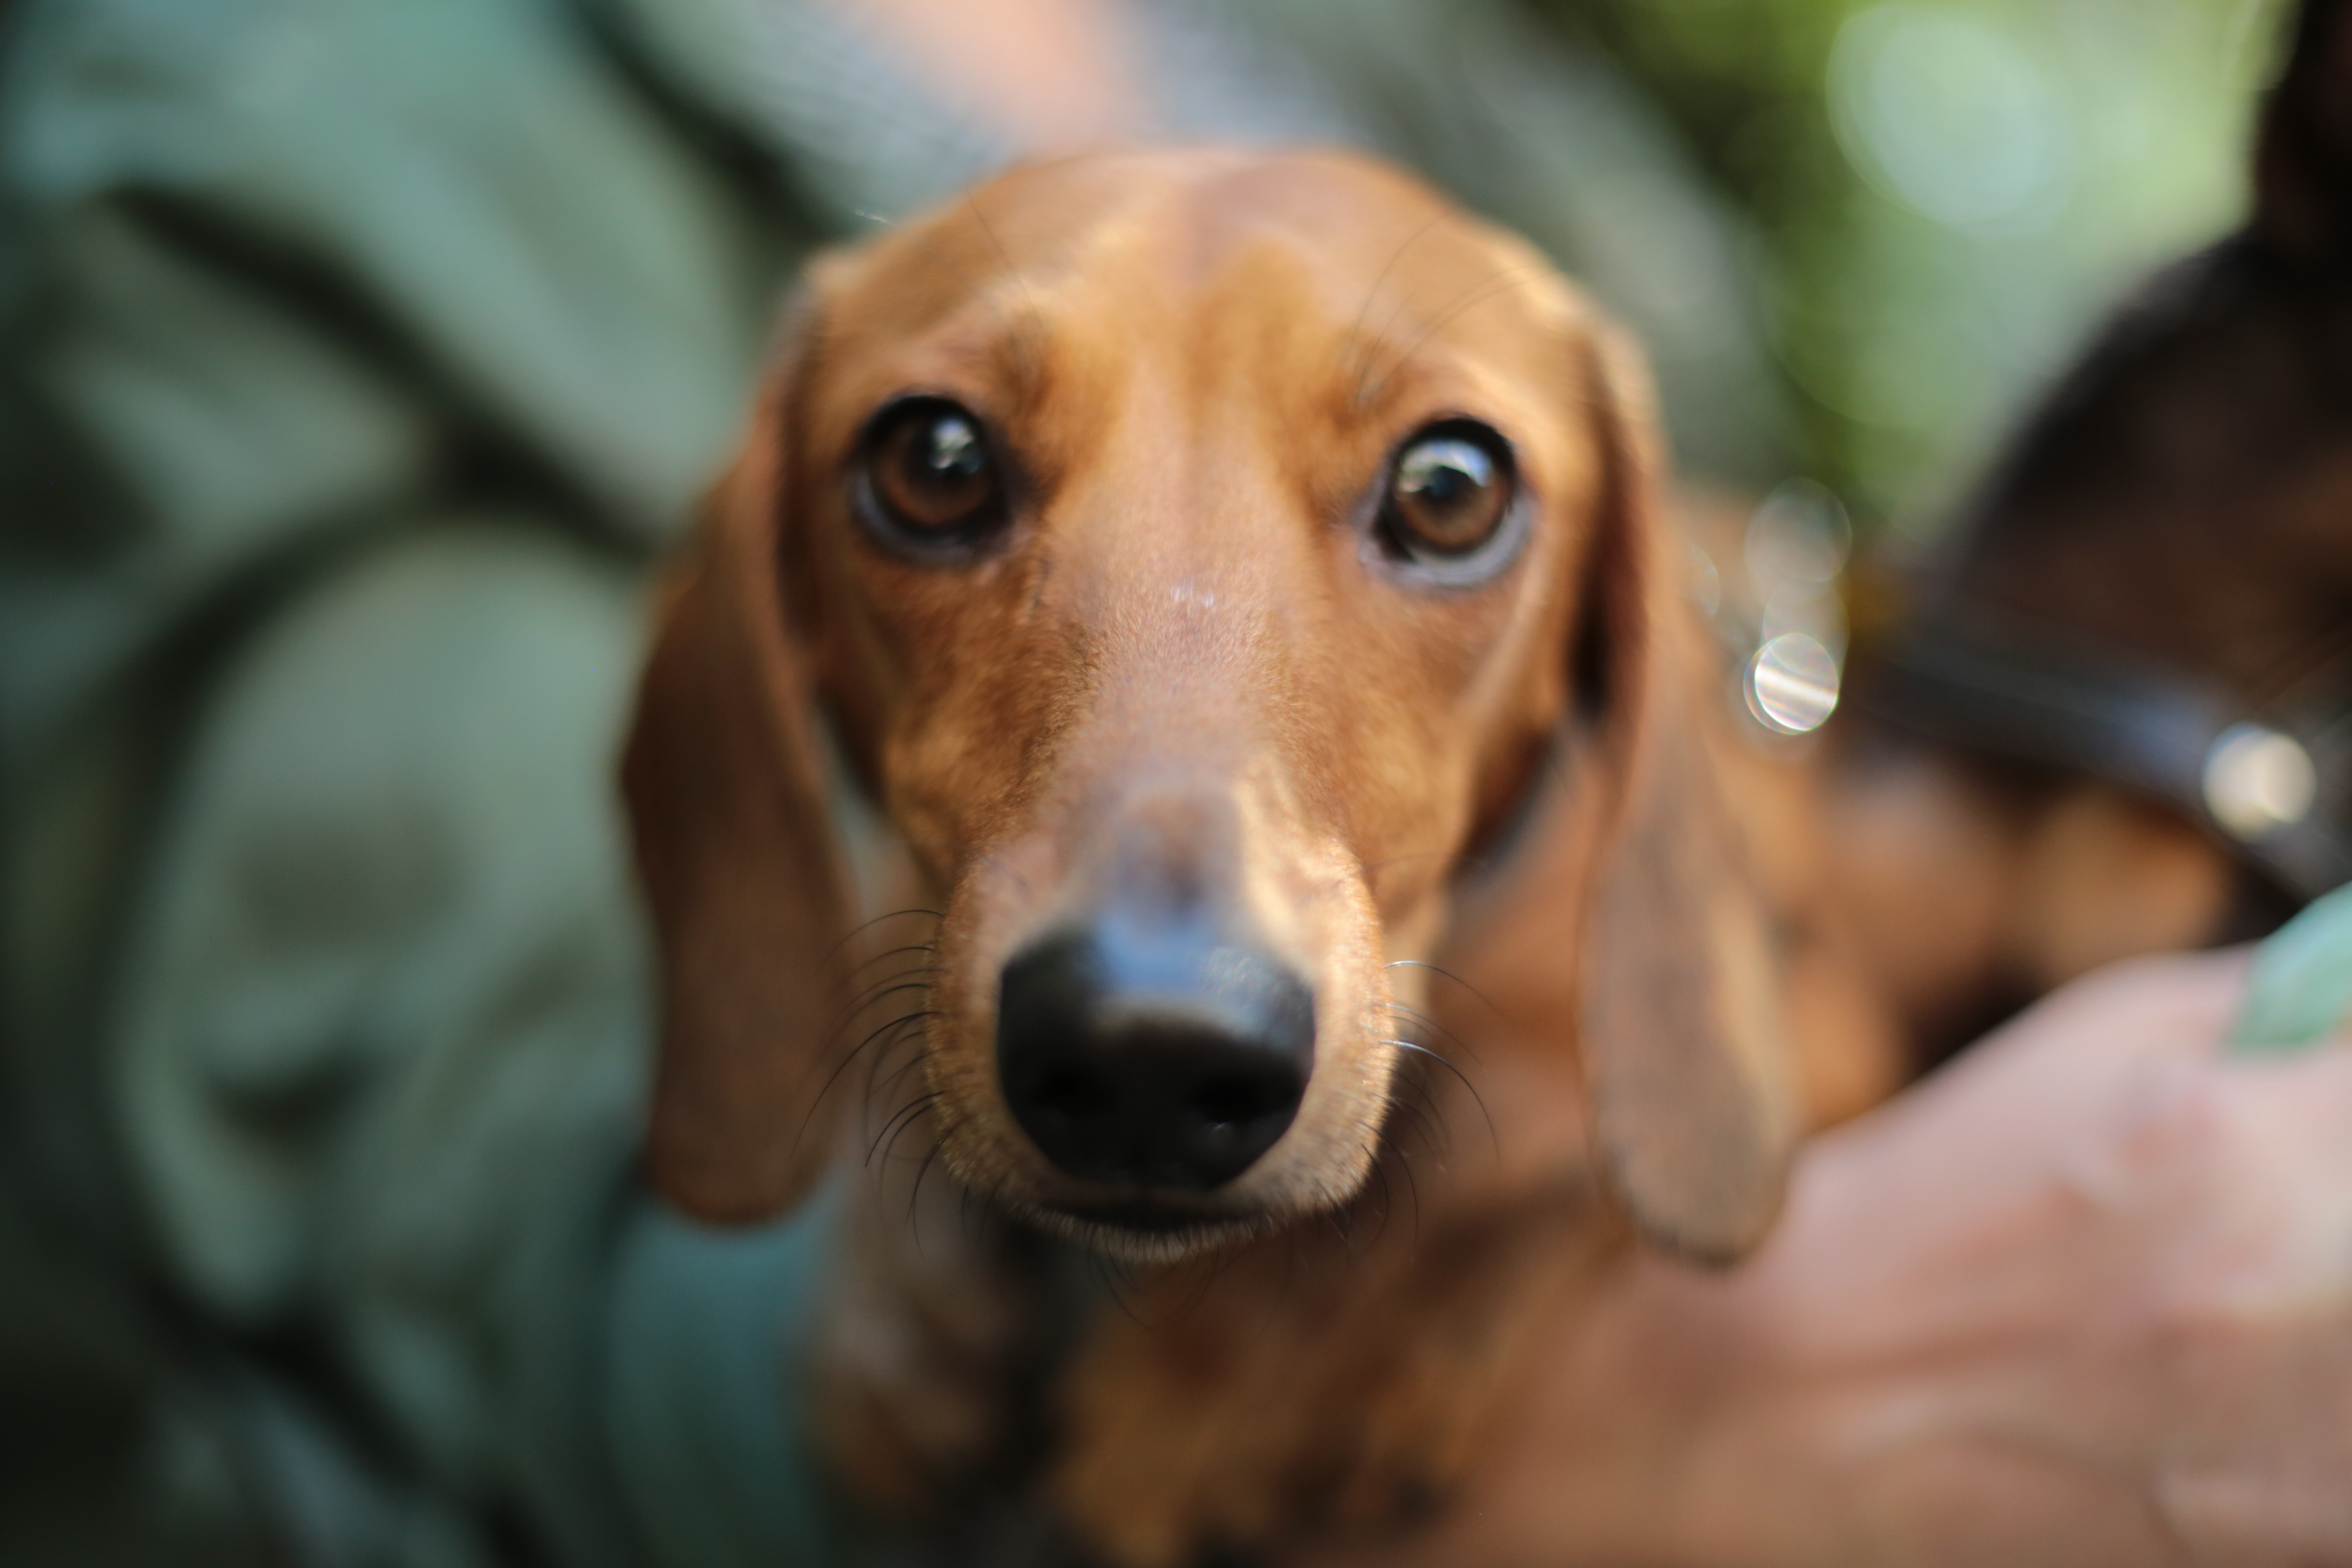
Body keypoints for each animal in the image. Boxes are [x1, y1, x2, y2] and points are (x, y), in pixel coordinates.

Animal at [621, 150, 1872, 1568]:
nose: (1148, 1053)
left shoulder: (1830, 1033)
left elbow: (1503, 1185)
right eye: (934, 460)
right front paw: (898, 1317)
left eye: (1452, 486)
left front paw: (1255, 1374)